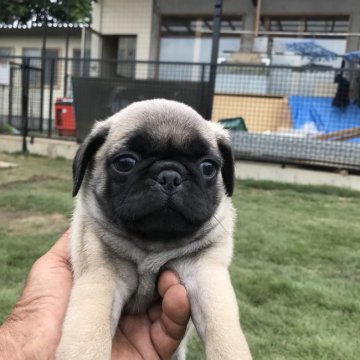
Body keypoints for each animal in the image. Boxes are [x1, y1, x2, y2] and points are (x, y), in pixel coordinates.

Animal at [57, 99, 253, 360]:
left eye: (208, 167)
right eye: (125, 163)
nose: (170, 176)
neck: (153, 244)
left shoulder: (205, 274)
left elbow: (224, 332)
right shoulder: (101, 277)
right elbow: (89, 337)